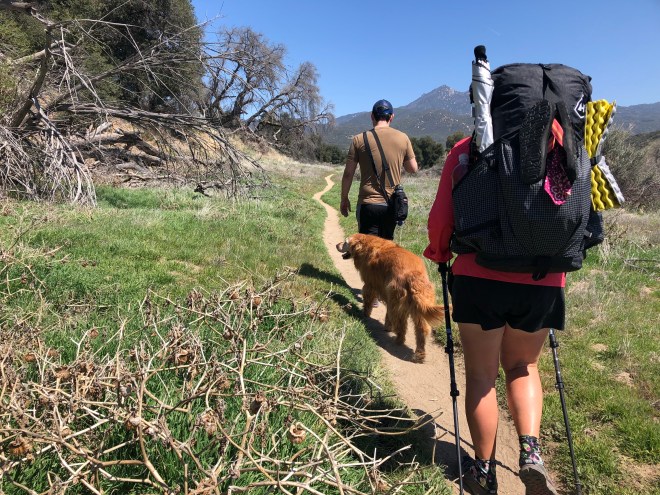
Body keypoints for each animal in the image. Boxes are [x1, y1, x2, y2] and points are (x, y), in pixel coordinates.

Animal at [336, 233, 446, 363]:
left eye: (345, 242)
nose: (337, 245)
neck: (367, 244)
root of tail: (413, 275)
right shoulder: (388, 298)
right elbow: (387, 314)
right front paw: (387, 326)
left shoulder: (370, 285)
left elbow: (368, 302)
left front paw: (365, 314)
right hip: (418, 311)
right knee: (421, 331)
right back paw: (420, 355)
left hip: (398, 304)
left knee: (401, 326)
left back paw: (398, 340)